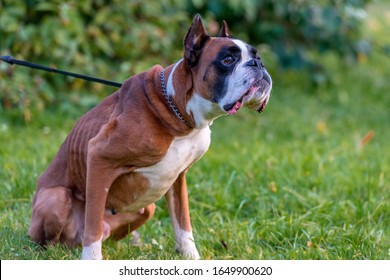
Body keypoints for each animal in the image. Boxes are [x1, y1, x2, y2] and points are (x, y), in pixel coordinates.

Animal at [28, 14, 272, 260]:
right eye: (228, 59)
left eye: (256, 56)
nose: (258, 64)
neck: (178, 113)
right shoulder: (98, 156)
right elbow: (93, 223)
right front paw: (92, 259)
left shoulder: (178, 179)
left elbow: (183, 224)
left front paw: (190, 256)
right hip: (57, 199)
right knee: (57, 239)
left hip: (146, 209)